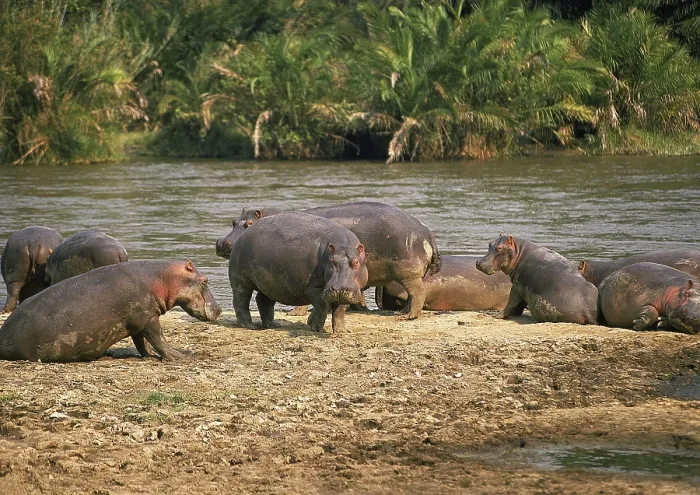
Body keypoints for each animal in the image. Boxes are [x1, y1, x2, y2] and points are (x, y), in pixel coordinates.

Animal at [0, 260, 221, 362]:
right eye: (205, 280)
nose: (219, 309)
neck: (163, 278)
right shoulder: (148, 318)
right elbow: (159, 339)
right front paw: (179, 356)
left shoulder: (138, 322)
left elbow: (142, 342)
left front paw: (148, 356)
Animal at [217, 202, 440, 319]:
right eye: (234, 222)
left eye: (249, 223)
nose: (222, 242)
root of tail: (427, 232)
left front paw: (294, 313)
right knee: (414, 294)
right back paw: (403, 311)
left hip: (407, 272)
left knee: (418, 292)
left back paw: (408, 315)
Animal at [229, 212, 368, 333]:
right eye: (332, 261)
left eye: (356, 262)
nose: (339, 289)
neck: (342, 245)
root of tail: (243, 234)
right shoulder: (314, 288)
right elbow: (322, 306)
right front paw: (316, 328)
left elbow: (340, 310)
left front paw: (342, 331)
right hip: (240, 280)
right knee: (240, 301)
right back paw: (249, 325)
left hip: (270, 283)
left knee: (263, 300)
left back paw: (272, 325)